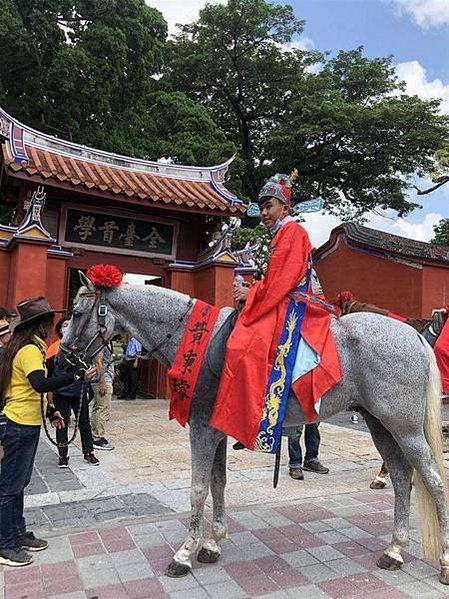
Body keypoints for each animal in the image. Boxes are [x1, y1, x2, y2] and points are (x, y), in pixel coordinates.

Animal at [60, 282, 448, 584]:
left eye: (77, 314)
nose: (63, 359)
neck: (192, 339)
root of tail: (414, 334)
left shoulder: (201, 429)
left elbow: (198, 489)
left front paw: (185, 553)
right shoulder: (215, 431)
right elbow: (217, 484)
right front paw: (212, 543)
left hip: (405, 427)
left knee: (432, 479)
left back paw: (443, 562)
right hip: (379, 423)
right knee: (402, 477)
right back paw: (394, 550)